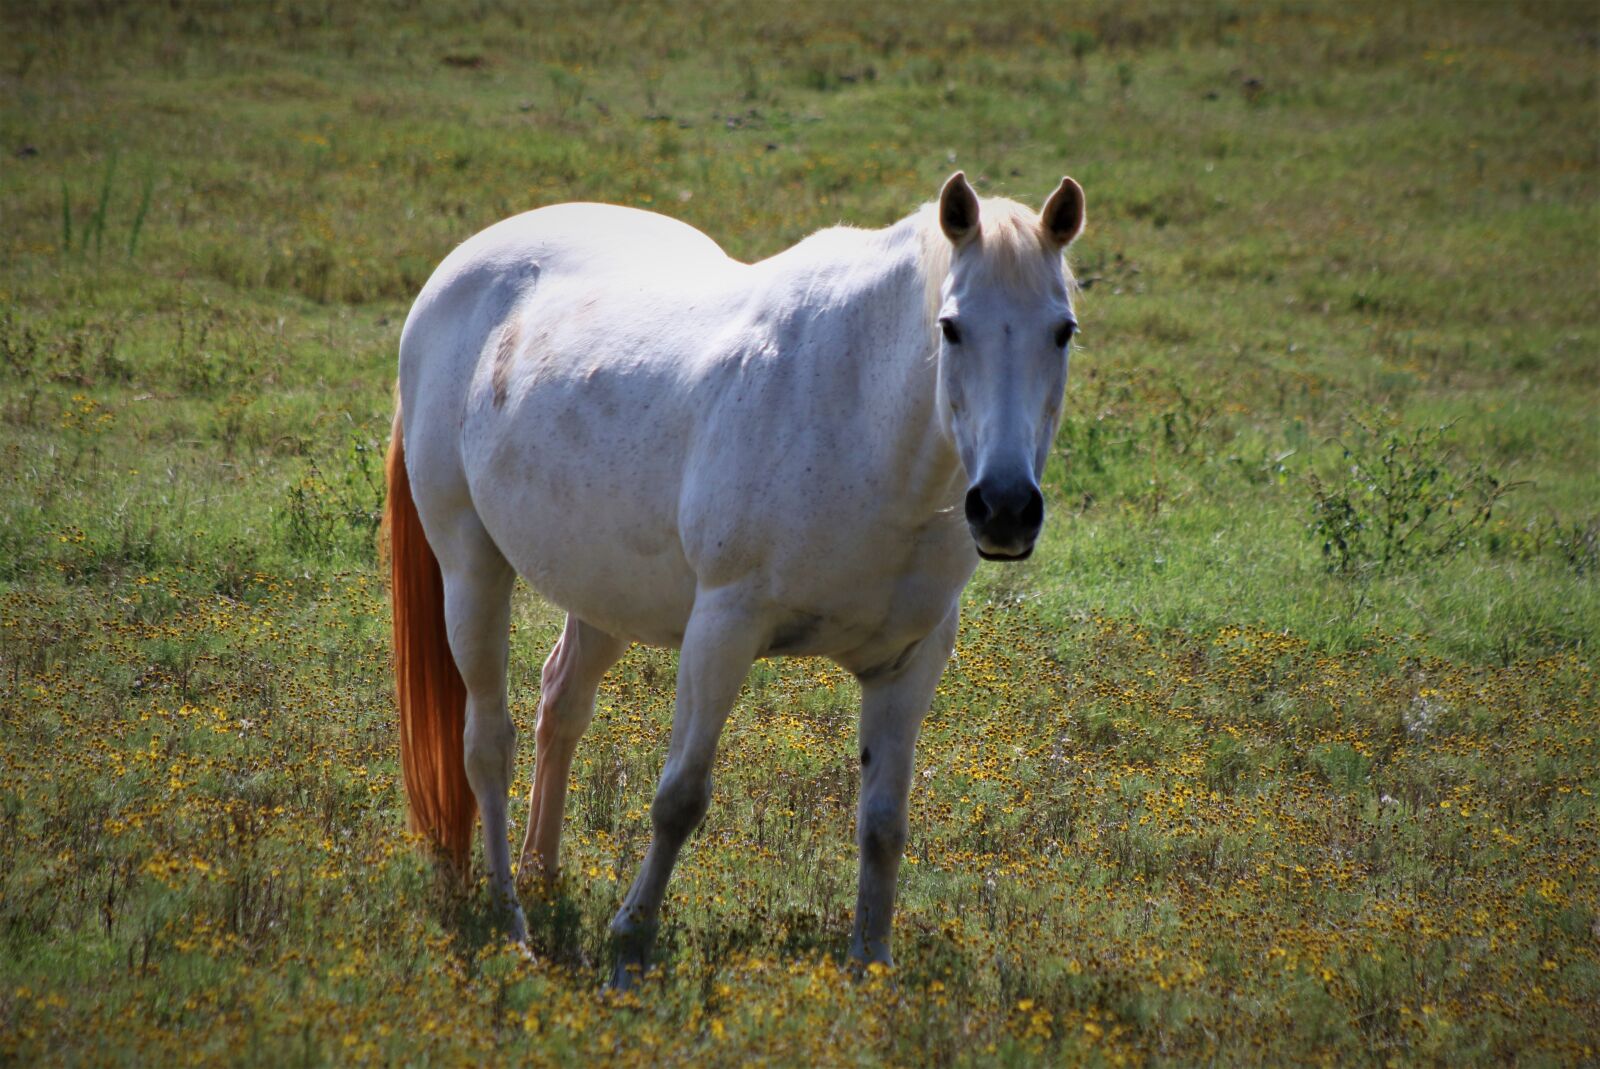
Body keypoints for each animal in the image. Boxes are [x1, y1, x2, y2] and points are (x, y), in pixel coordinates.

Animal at [385, 171, 1084, 987]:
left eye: (1062, 331)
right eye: (952, 328)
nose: (1004, 508)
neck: (861, 421)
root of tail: (455, 272)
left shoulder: (911, 662)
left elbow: (884, 823)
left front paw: (870, 965)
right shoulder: (723, 629)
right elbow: (680, 798)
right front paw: (631, 946)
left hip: (603, 592)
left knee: (560, 706)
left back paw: (544, 876)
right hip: (471, 565)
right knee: (486, 743)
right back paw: (511, 920)